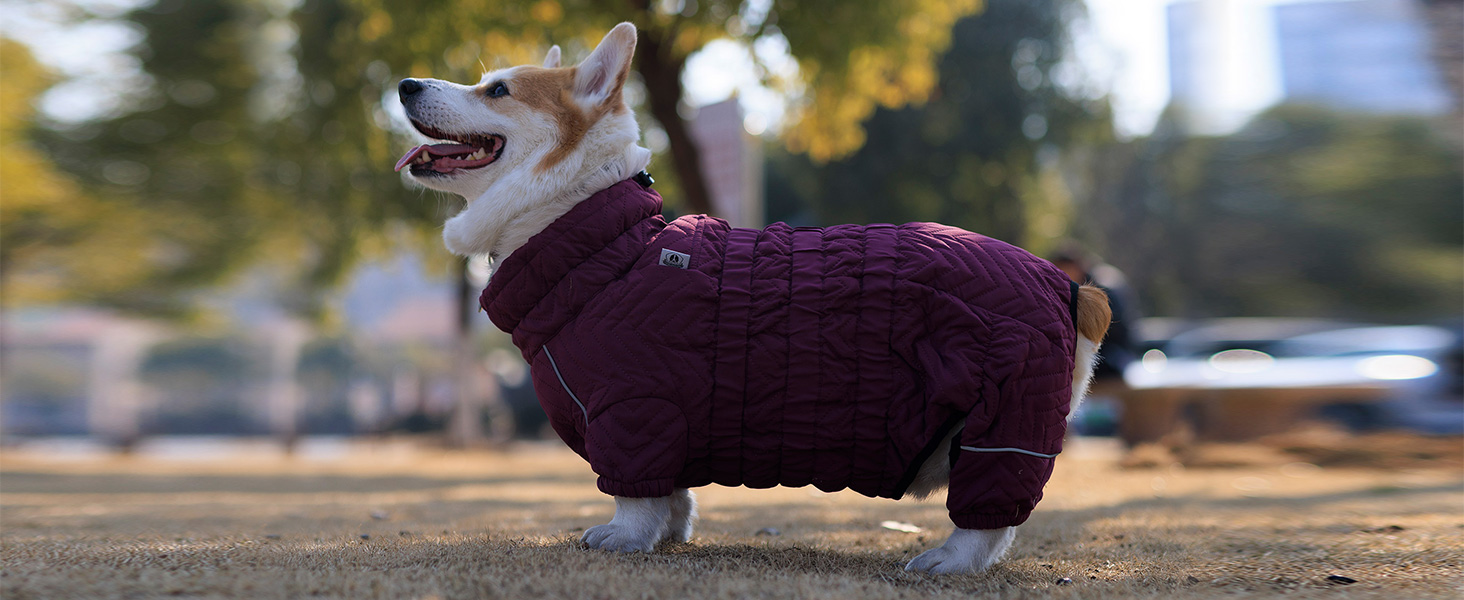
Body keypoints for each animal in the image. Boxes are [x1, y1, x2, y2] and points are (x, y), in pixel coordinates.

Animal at [392, 24, 1106, 576]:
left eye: (498, 90)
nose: (403, 85)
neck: (598, 235)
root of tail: (1068, 284)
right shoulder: (663, 427)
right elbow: (673, 494)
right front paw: (669, 536)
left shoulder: (632, 408)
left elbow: (633, 497)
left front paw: (624, 539)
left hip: (1002, 418)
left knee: (989, 515)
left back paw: (947, 561)